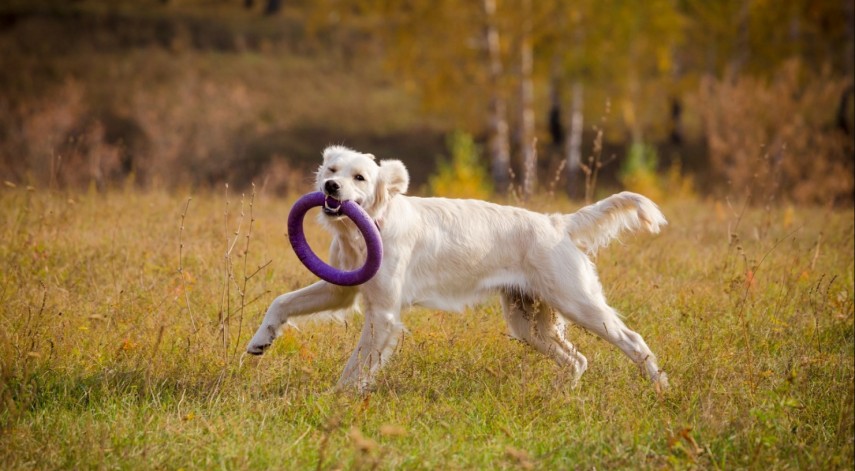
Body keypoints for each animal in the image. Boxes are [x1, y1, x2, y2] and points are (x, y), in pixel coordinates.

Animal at [247, 146, 668, 392]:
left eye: (359, 177)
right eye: (331, 169)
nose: (331, 187)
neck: (371, 227)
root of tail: (557, 223)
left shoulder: (383, 314)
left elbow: (358, 364)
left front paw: (339, 397)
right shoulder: (340, 290)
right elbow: (282, 302)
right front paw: (261, 340)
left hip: (580, 304)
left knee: (633, 341)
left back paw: (660, 386)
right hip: (529, 324)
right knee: (577, 359)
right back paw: (563, 395)